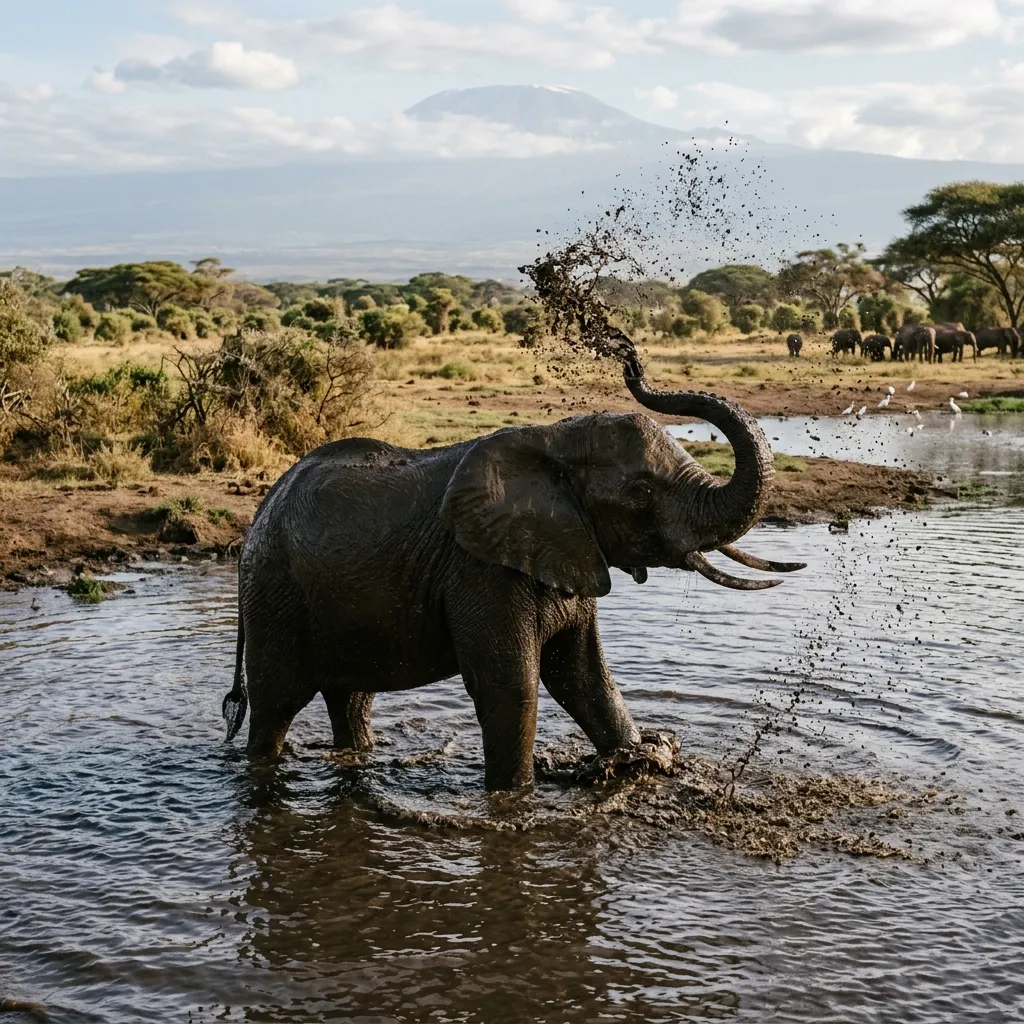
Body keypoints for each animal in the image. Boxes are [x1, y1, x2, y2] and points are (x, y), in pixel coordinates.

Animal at [221, 354, 805, 791]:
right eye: (641, 492)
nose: (630, 360)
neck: (553, 442)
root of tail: (259, 513)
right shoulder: (481, 570)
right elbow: (512, 686)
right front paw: (514, 799)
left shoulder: (566, 549)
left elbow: (584, 676)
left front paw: (637, 763)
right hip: (274, 592)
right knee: (275, 705)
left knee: (351, 699)